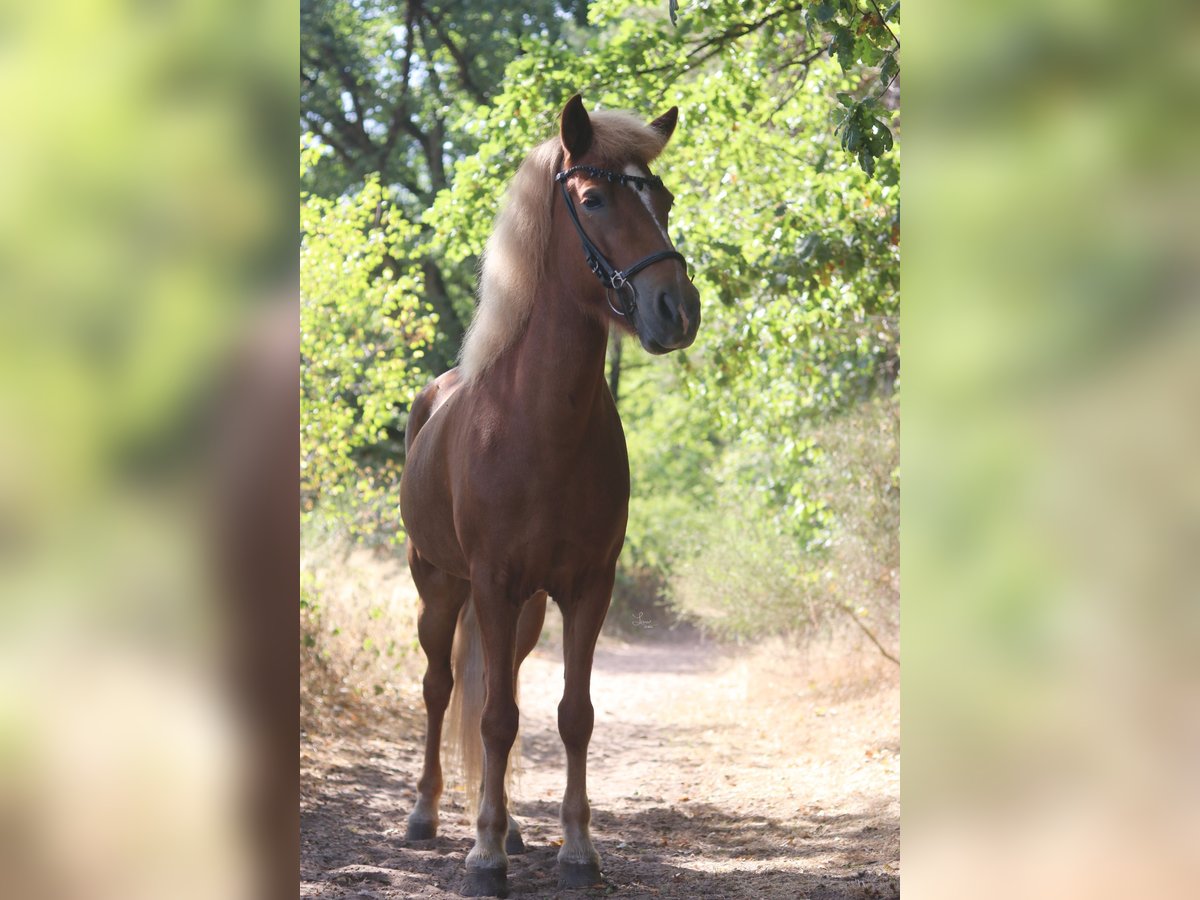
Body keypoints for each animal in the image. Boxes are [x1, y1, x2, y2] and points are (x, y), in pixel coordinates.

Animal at [400, 95, 700, 897]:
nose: (678, 309)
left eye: (662, 198)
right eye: (593, 200)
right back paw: (427, 816)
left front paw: (576, 850)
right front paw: (483, 859)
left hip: (527, 608)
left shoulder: (587, 587)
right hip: (441, 589)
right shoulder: (491, 584)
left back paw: (511, 826)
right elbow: (494, 718)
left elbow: (570, 715)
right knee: (442, 687)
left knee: (495, 690)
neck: (537, 423)